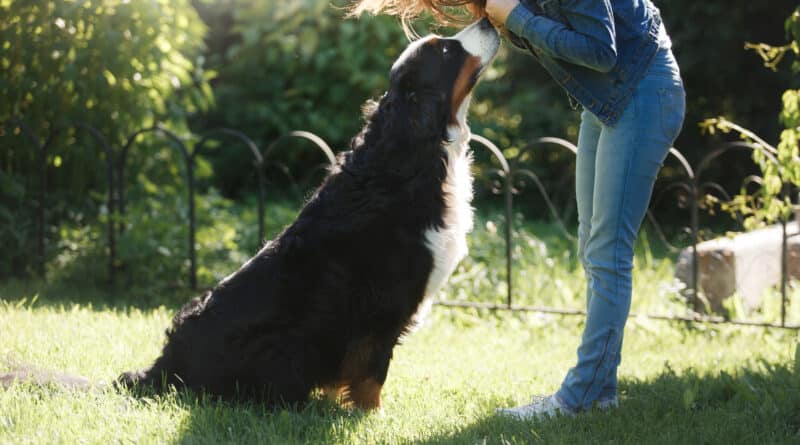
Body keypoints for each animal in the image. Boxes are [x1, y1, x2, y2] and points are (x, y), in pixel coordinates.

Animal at [115, 20, 496, 410]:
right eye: (448, 51)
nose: (487, 21)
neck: (414, 156)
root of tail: (164, 366)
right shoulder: (383, 303)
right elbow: (372, 368)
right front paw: (371, 414)